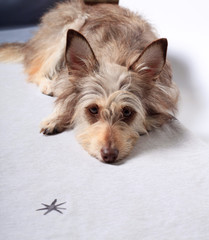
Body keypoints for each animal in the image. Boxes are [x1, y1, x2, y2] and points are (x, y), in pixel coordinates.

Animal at [0, 0, 180, 163]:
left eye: (127, 112)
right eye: (93, 109)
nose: (109, 155)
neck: (117, 56)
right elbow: (65, 98)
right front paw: (56, 118)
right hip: (70, 27)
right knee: (36, 71)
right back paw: (48, 84)